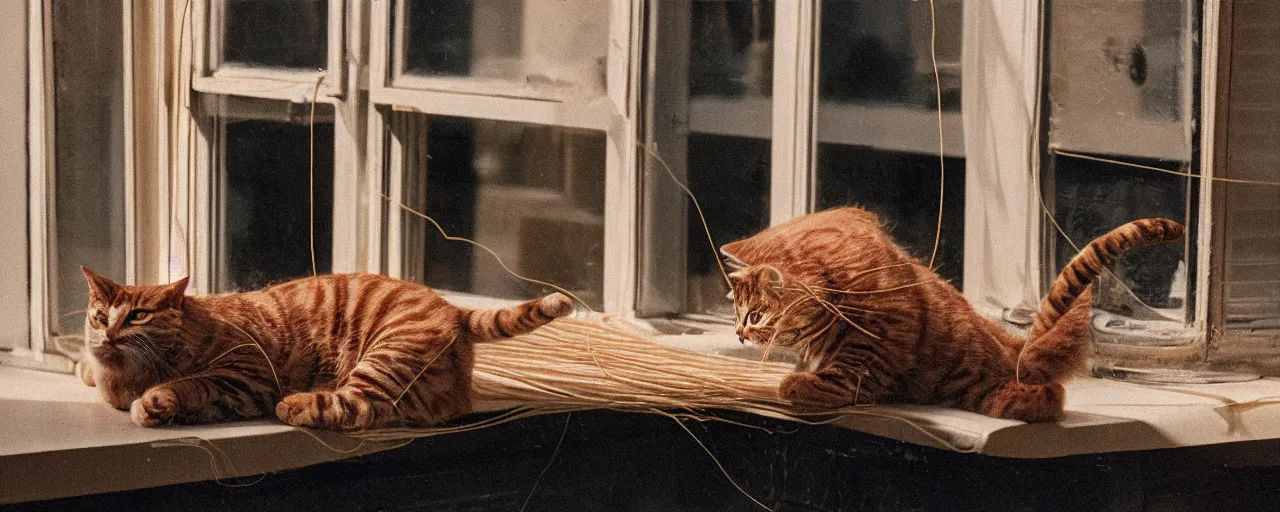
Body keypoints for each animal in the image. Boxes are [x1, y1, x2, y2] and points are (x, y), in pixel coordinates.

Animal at [78, 270, 570, 430]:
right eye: (100, 315)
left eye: (138, 315)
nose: (110, 332)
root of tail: (452, 308)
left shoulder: (245, 375)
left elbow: (190, 384)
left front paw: (156, 402)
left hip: (380, 359)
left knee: (360, 406)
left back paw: (295, 405)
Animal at [721, 206, 1177, 422]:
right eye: (737, 315)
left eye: (755, 316)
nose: (741, 334)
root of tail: (1012, 349)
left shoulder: (867, 361)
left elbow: (826, 379)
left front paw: (795, 381)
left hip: (980, 388)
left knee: (1044, 395)